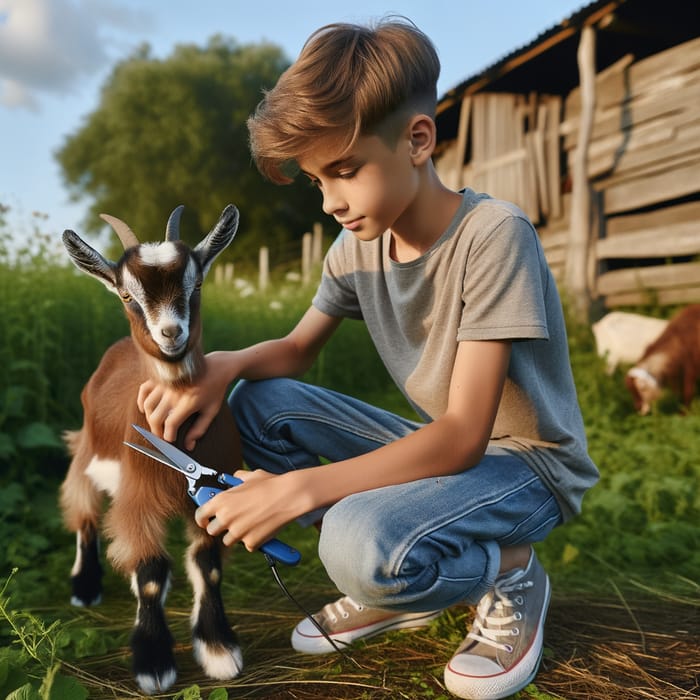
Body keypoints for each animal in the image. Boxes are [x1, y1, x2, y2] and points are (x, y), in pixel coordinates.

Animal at [60, 204, 246, 696]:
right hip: (86, 451)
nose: (170, 334)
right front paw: (153, 662)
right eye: (127, 295)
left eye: (196, 284)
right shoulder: (138, 497)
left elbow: (207, 566)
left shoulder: (216, 497)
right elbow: (148, 574)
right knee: (83, 512)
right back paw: (84, 586)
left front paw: (218, 649)